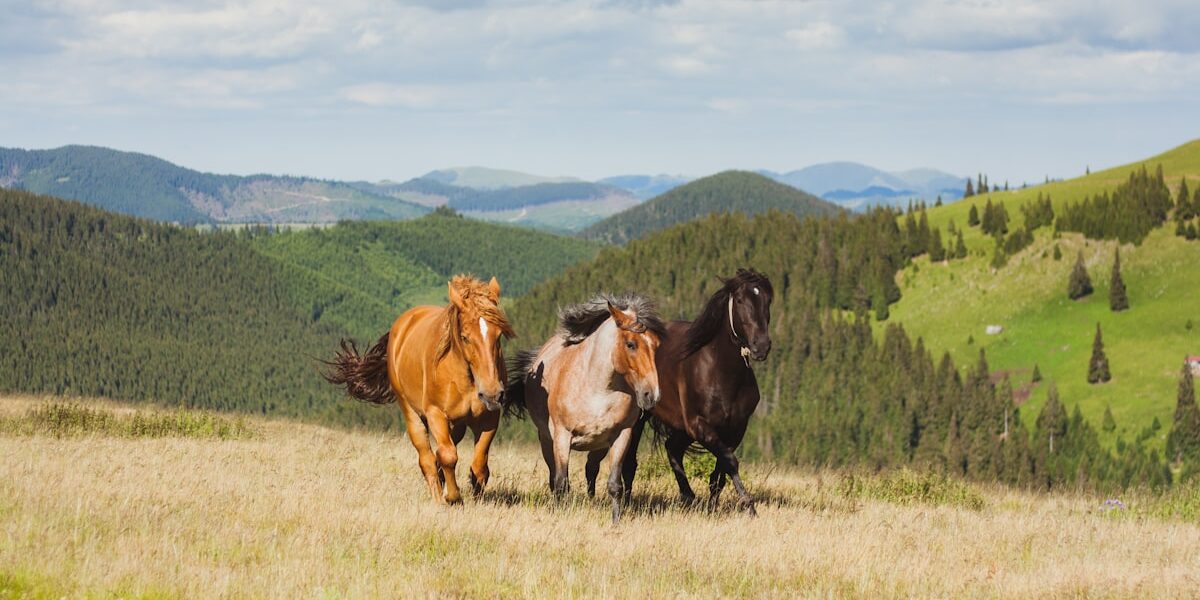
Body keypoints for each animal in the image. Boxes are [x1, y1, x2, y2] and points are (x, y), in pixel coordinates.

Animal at [323, 275, 515, 504]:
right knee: (427, 458)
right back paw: (439, 495)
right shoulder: (435, 414)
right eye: (465, 337)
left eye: (499, 335)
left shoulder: (489, 418)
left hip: (458, 424)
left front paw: (475, 495)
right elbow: (447, 455)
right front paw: (453, 497)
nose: (492, 394)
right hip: (411, 412)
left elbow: (479, 466)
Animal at [504, 293, 665, 523]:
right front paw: (559, 516)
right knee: (555, 477)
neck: (598, 390)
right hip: (546, 441)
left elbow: (614, 484)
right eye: (631, 344)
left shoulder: (621, 436)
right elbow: (561, 482)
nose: (651, 395)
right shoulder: (562, 437)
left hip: (599, 446)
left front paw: (616, 521)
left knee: (591, 469)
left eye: (656, 344)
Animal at [599, 269, 773, 516]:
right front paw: (749, 505)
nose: (761, 346)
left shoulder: (735, 429)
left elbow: (720, 472)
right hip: (642, 419)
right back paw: (630, 503)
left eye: (768, 300)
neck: (720, 371)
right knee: (632, 463)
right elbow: (730, 461)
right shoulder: (699, 425)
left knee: (672, 448)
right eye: (740, 300)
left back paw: (688, 496)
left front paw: (713, 506)